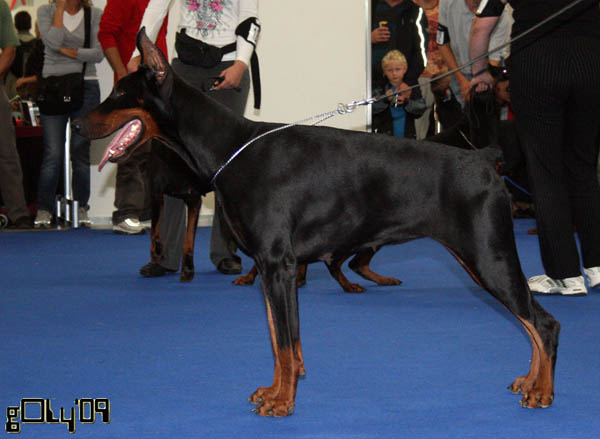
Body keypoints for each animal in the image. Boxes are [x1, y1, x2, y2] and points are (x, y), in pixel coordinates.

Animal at [74, 30, 560, 417]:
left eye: (120, 94)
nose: (77, 124)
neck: (229, 148)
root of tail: (483, 159)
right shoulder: (270, 269)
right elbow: (278, 339)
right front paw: (275, 390)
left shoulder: (278, 264)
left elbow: (287, 343)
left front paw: (283, 402)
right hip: (479, 258)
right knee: (531, 323)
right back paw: (530, 381)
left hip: (488, 255)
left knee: (544, 324)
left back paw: (543, 392)